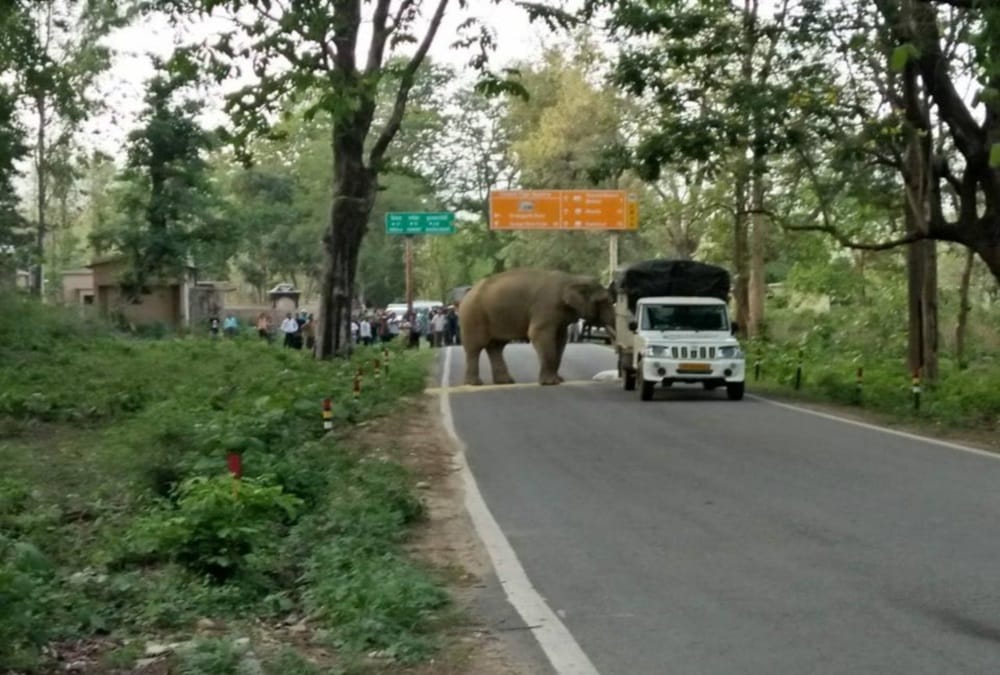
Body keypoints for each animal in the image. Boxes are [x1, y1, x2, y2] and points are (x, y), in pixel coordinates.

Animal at [457, 268, 616, 386]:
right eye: (603, 301)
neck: (572, 278)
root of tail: (467, 294)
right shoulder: (546, 306)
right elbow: (538, 333)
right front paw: (550, 383)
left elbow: (560, 339)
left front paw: (559, 380)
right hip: (473, 316)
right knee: (475, 347)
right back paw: (474, 383)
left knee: (496, 347)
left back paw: (505, 381)